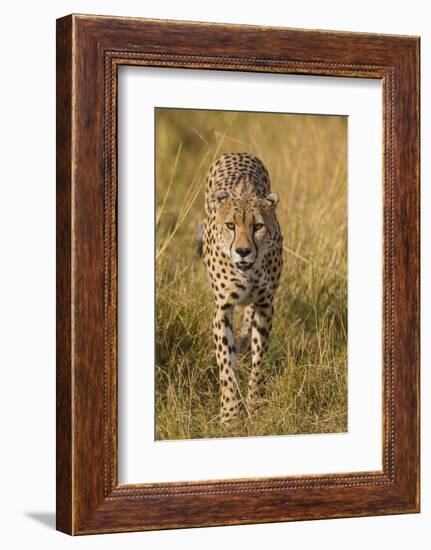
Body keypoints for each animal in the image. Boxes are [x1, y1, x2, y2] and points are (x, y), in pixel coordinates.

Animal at [201, 153, 286, 424]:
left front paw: (254, 403)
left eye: (258, 226)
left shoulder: (265, 305)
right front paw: (229, 415)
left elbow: (259, 360)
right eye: (230, 225)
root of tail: (238, 152)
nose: (243, 251)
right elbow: (226, 365)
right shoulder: (222, 309)